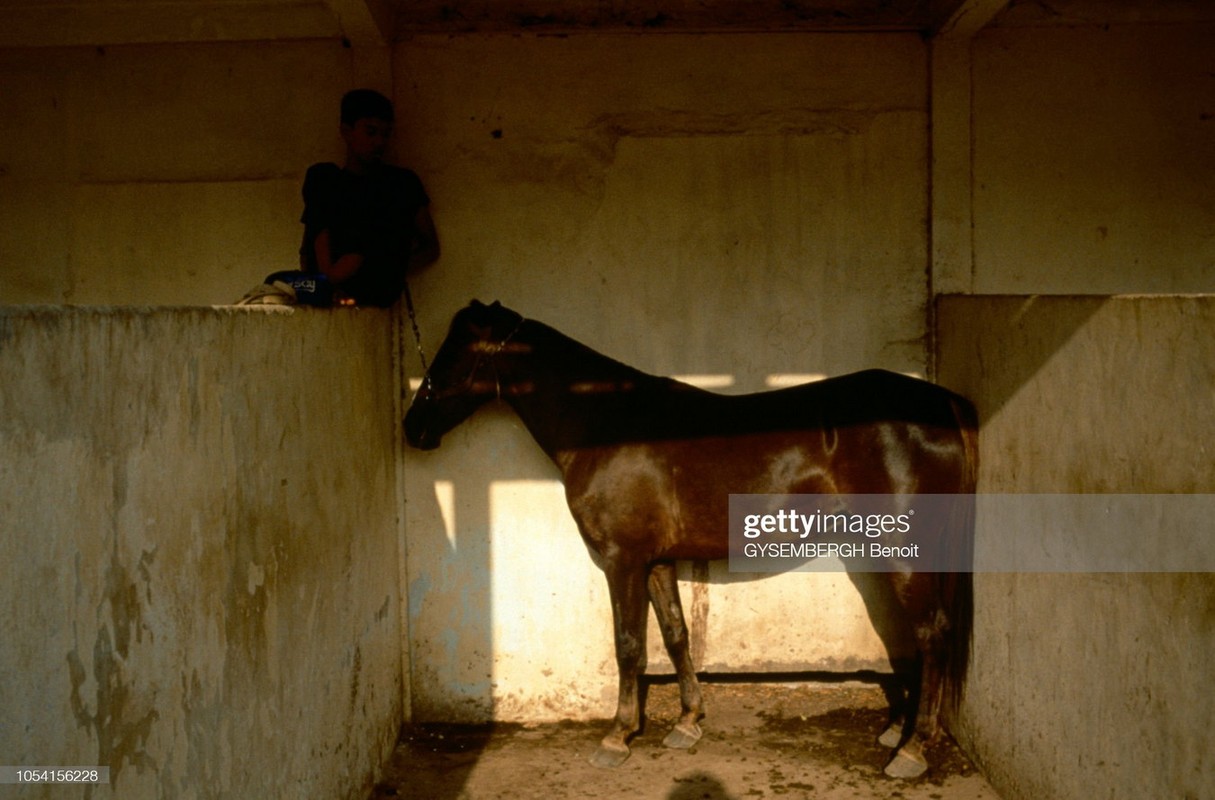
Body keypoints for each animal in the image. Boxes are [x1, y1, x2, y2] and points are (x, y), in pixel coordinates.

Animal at [408, 300, 976, 778]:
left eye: (453, 354)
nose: (413, 427)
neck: (605, 425)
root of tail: (944, 406)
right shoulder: (658, 560)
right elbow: (676, 634)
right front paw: (687, 723)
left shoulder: (622, 559)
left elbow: (629, 644)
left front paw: (617, 737)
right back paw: (896, 732)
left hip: (905, 552)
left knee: (930, 633)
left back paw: (912, 750)